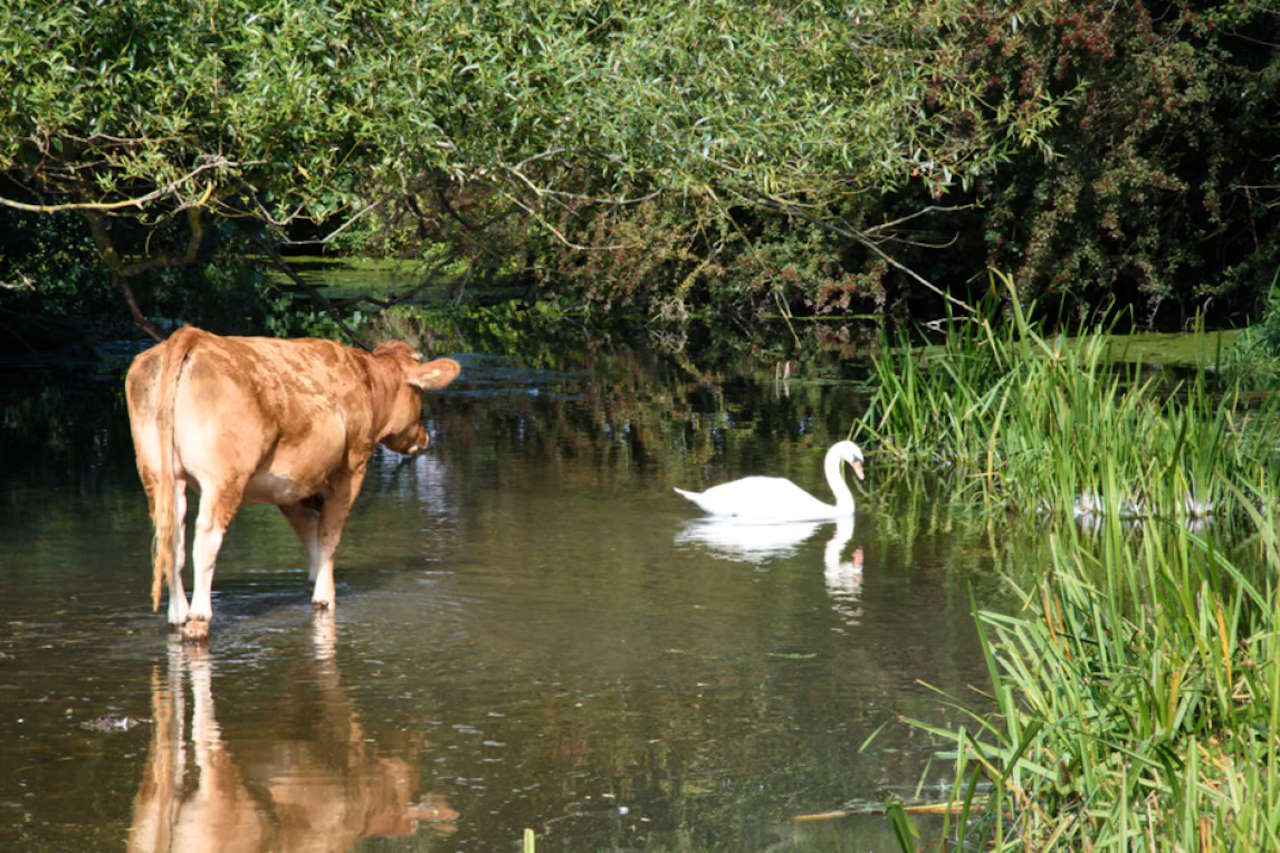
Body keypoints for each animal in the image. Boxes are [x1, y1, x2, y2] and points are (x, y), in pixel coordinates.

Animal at [124, 325, 463, 637]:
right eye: (419, 394)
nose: (425, 436)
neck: (366, 380)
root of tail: (193, 336)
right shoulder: (351, 468)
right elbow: (328, 534)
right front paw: (325, 597)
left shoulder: (291, 484)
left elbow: (309, 532)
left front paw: (314, 581)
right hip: (222, 479)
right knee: (205, 540)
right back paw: (198, 619)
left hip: (159, 475)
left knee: (171, 538)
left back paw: (178, 614)